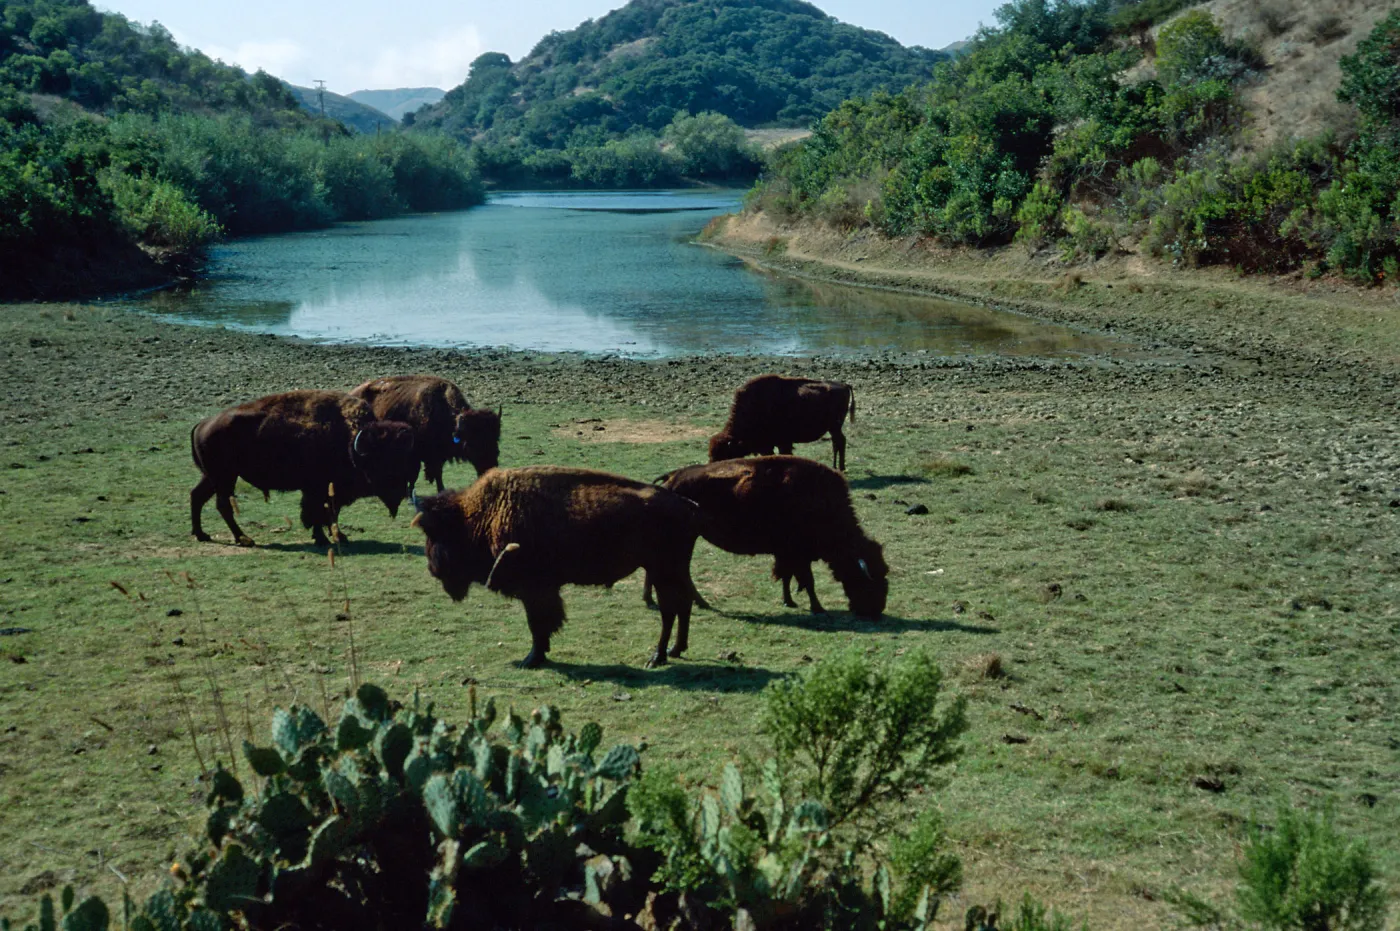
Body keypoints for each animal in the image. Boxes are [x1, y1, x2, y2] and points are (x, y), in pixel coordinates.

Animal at [190, 391, 418, 547]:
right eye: (383, 460)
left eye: (405, 460)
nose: (400, 492)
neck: (351, 441)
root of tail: (203, 423)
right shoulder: (318, 489)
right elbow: (319, 512)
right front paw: (325, 538)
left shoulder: (326, 491)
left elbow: (330, 513)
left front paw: (338, 536)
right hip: (224, 477)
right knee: (223, 505)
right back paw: (244, 538)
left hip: (212, 477)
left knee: (197, 496)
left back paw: (202, 534)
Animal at [350, 374, 501, 491]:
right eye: (471, 444)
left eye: (496, 440)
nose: (489, 468)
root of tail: (353, 393)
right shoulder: (420, 454)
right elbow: (421, 474)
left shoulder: (436, 456)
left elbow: (435, 473)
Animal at [411, 466, 701, 669]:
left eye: (436, 533)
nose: (433, 569)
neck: (485, 513)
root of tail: (687, 506)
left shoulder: (535, 590)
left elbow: (538, 624)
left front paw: (531, 659)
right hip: (673, 571)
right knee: (683, 605)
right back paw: (676, 650)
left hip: (663, 571)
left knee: (669, 611)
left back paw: (657, 656)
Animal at [709, 374, 856, 471]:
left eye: (724, 454)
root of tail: (844, 385)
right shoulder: (770, 445)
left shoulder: (780, 442)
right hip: (833, 428)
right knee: (836, 442)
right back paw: (836, 466)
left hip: (835, 427)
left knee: (839, 441)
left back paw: (840, 468)